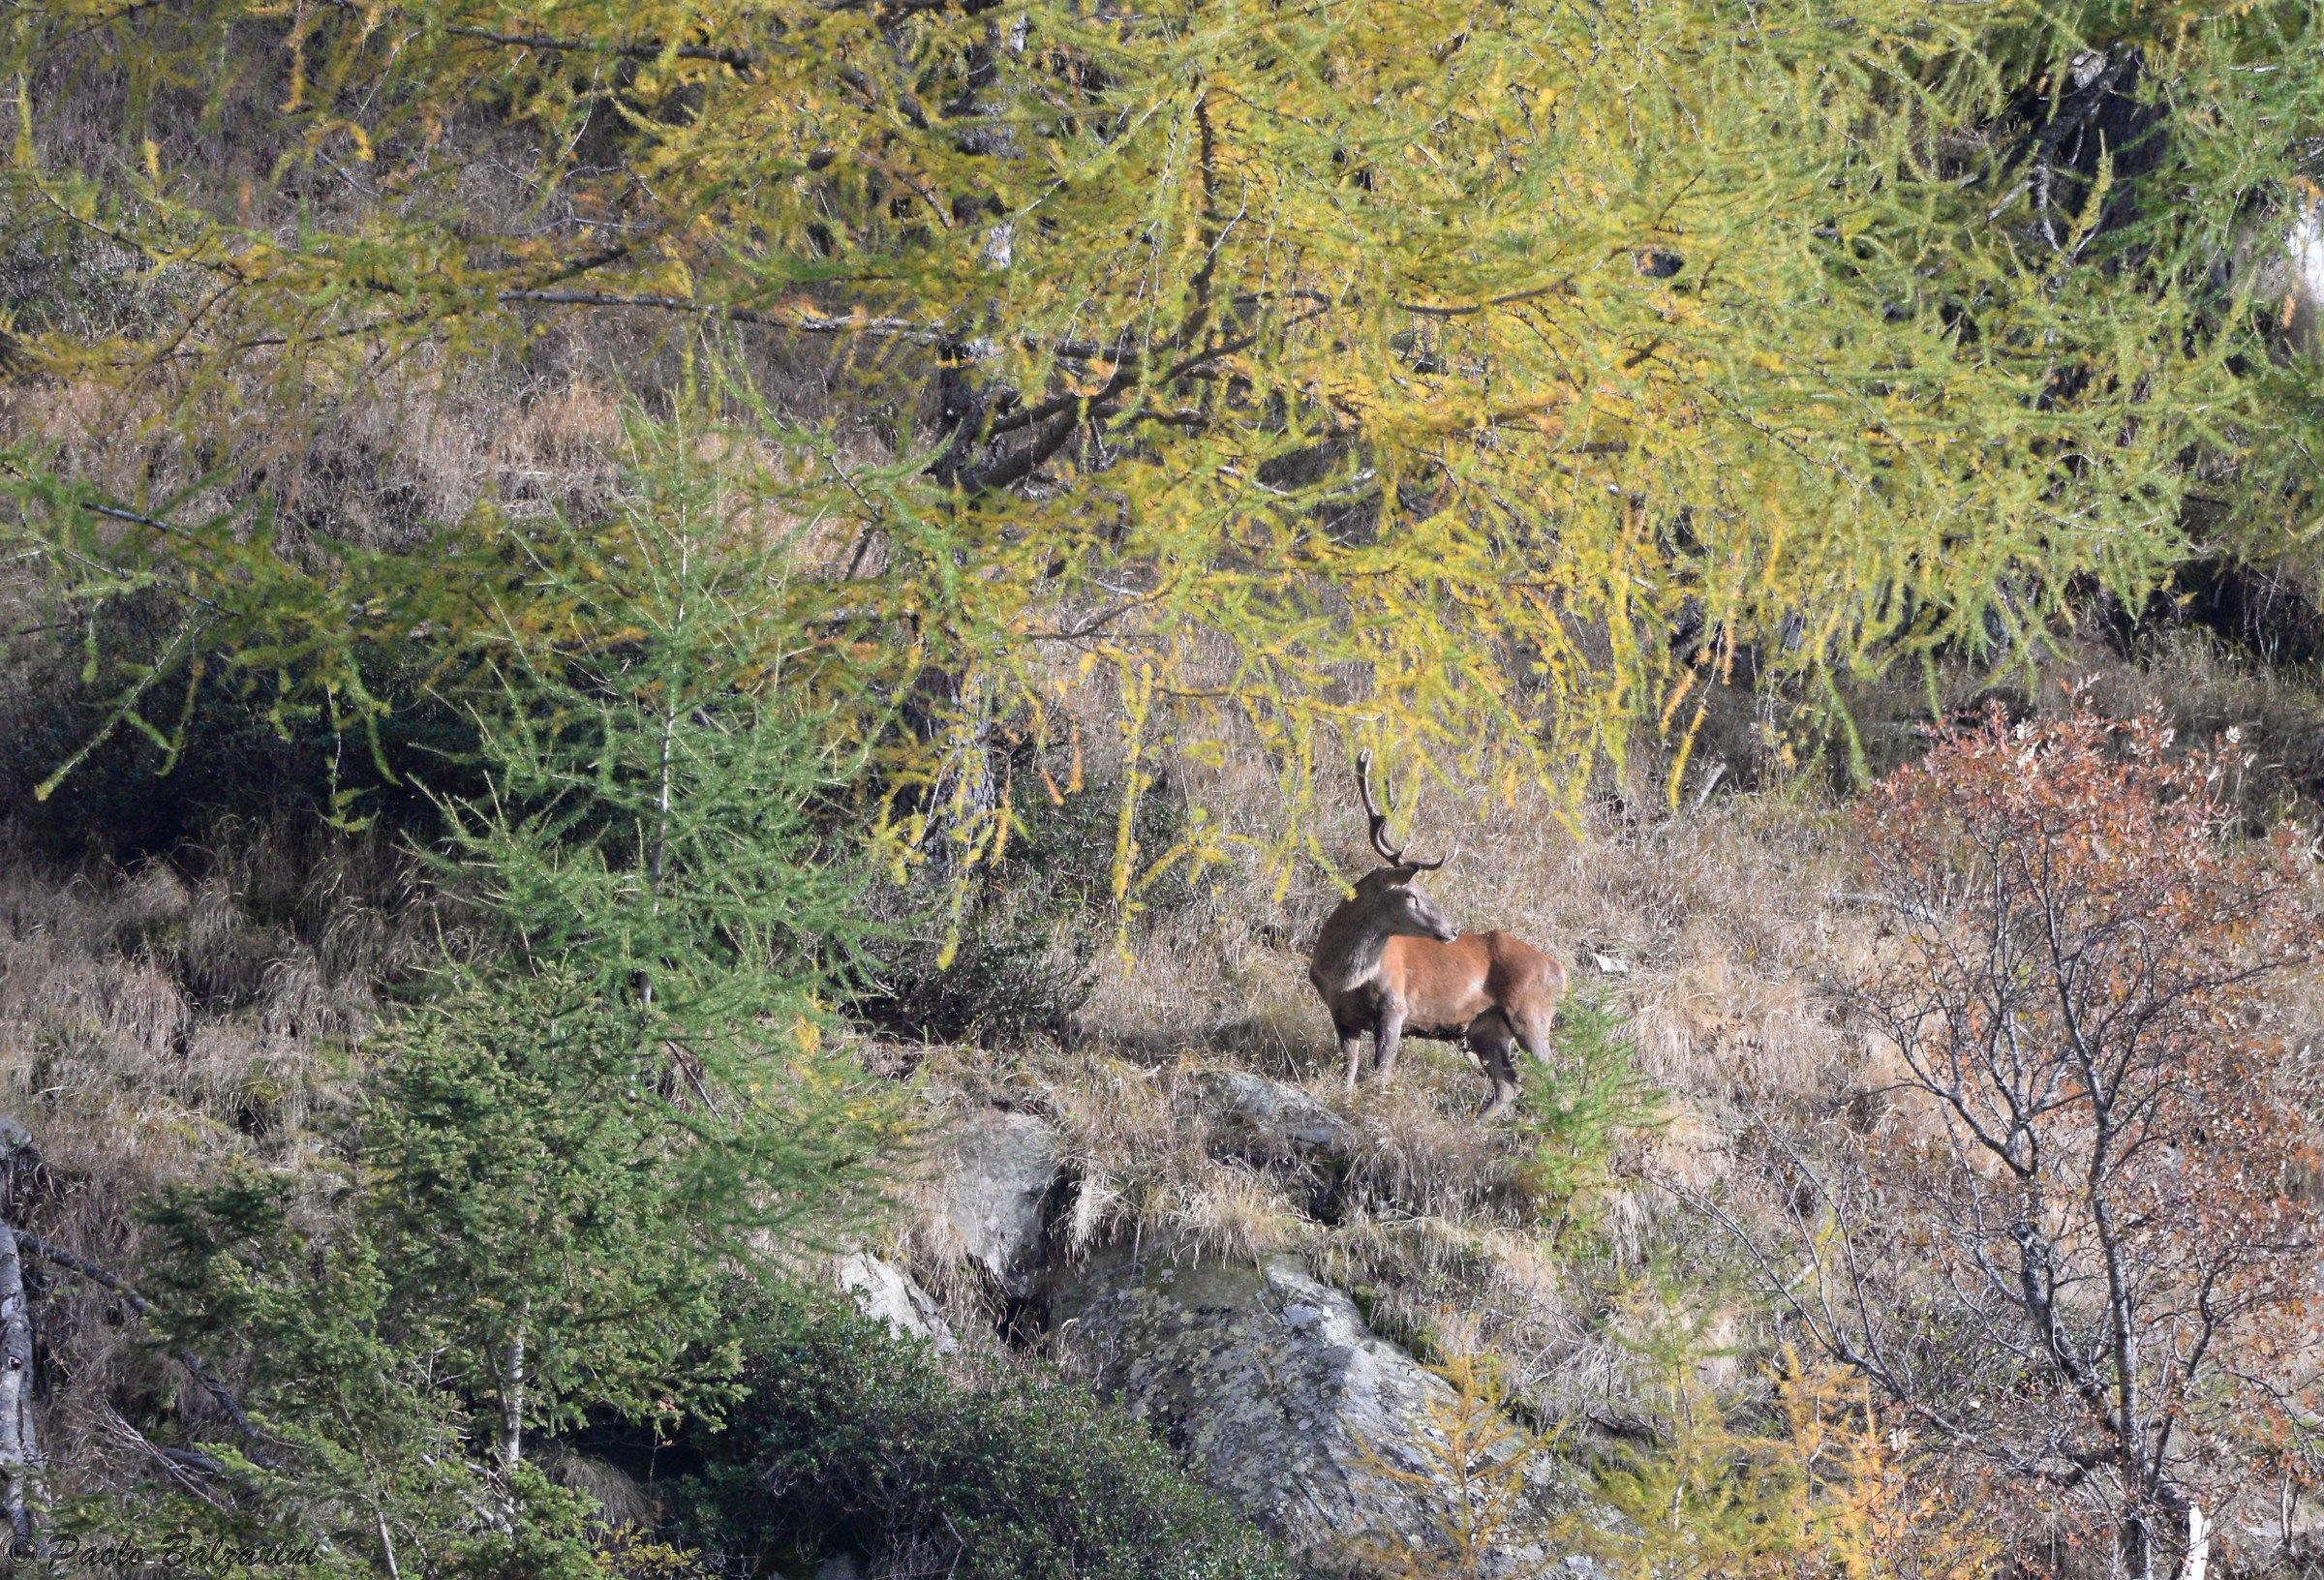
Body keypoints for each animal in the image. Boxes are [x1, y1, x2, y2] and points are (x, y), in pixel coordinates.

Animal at [1307, 753, 1567, 1120]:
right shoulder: (1341, 1013)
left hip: (1531, 1014)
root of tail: (1561, 971)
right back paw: (1477, 1126)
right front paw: (1344, 1100)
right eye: (1411, 894)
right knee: (1507, 1084)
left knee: (1552, 1079)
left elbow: (1381, 1069)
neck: (1344, 977)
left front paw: (1374, 1109)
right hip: (1486, 1028)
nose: (1452, 930)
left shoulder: (1395, 1005)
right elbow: (1350, 1068)